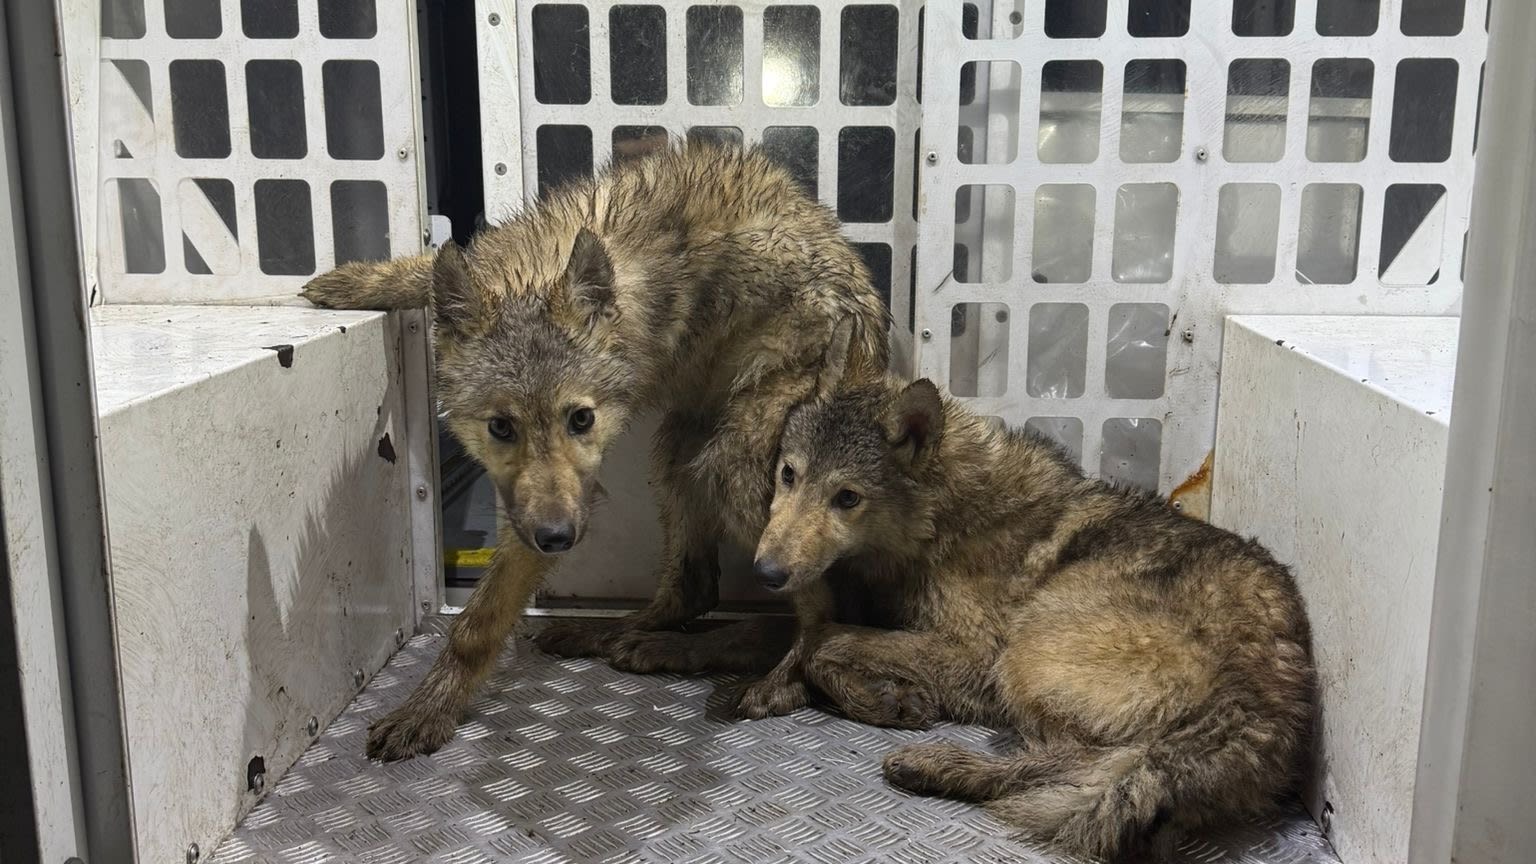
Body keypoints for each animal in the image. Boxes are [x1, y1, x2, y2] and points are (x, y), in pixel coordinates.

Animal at [301, 143, 888, 760]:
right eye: (501, 427)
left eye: (580, 419)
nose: (558, 538)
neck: (543, 270)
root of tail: (874, 359)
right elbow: (429, 267)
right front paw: (354, 282)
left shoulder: (550, 512)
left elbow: (476, 625)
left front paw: (428, 709)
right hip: (678, 452)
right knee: (691, 591)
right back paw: (616, 635)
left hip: (735, 469)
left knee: (819, 605)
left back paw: (783, 680)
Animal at [630, 369, 1316, 860]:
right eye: (788, 475)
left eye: (847, 497)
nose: (767, 572)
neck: (939, 517)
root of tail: (1264, 697)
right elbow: (764, 629)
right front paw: (660, 644)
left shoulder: (977, 657)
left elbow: (824, 640)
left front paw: (859, 694)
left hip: (1028, 654)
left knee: (1073, 763)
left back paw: (939, 764)